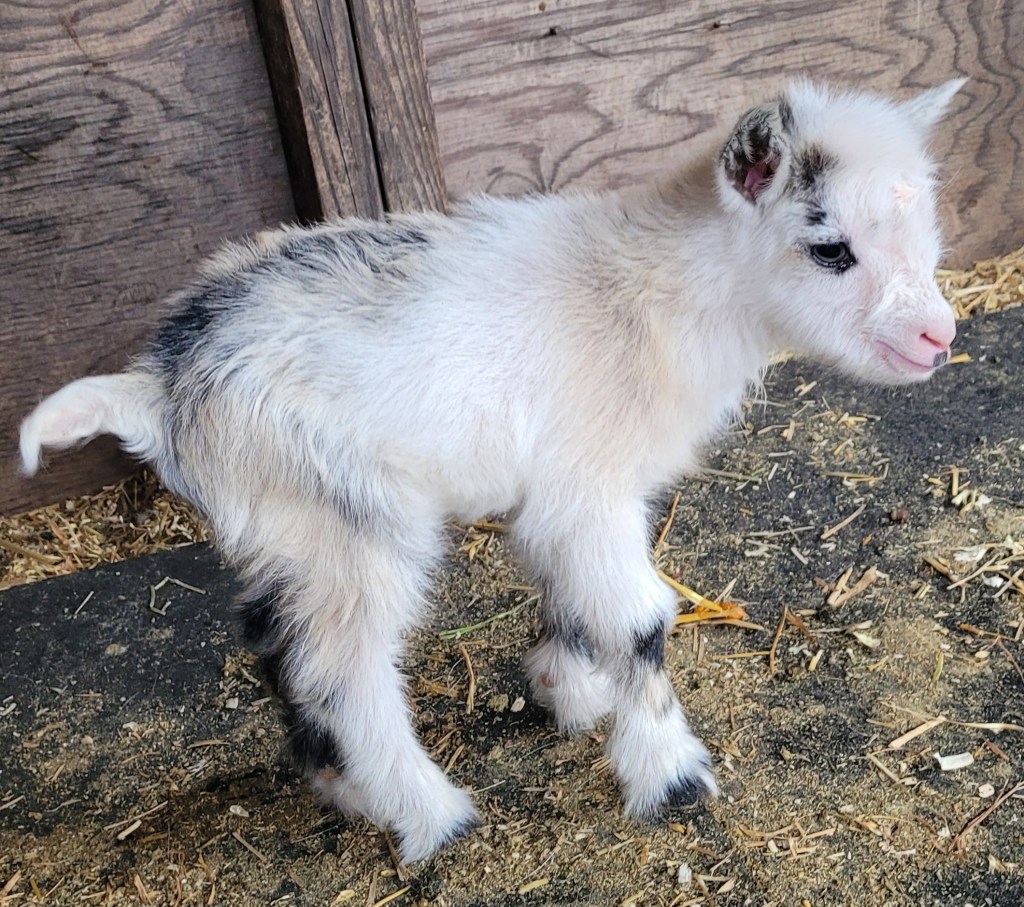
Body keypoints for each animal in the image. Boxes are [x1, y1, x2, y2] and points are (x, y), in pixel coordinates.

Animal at [20, 79, 963, 861]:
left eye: (926, 230)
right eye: (830, 248)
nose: (939, 337)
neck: (657, 292)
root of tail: (158, 385)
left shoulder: (569, 496)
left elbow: (571, 597)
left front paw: (565, 691)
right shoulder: (589, 484)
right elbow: (642, 623)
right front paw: (671, 774)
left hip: (291, 527)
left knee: (277, 642)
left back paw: (342, 786)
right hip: (356, 525)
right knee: (346, 671)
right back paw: (431, 814)